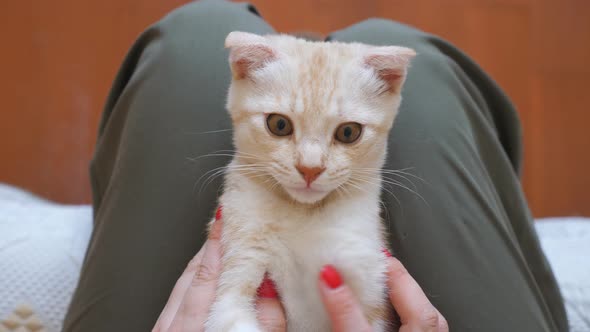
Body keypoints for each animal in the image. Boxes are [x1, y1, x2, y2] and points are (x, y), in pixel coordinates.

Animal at [207, 31, 416, 332]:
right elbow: (231, 312)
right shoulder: (233, 283)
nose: (310, 168)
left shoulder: (369, 290)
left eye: (348, 132)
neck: (302, 213)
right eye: (279, 124)